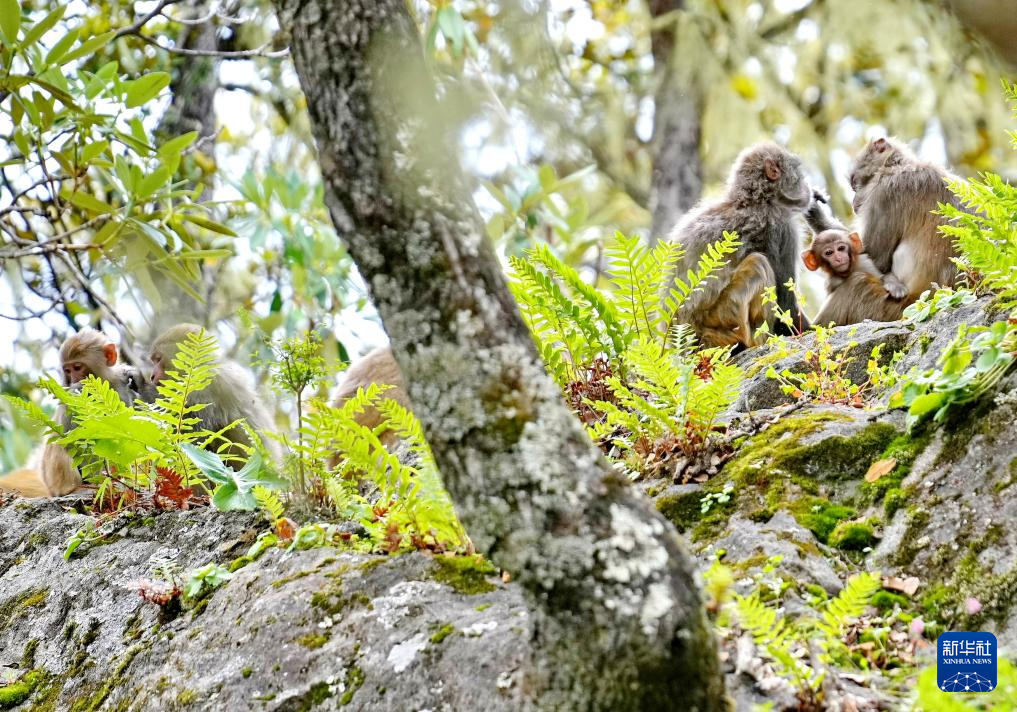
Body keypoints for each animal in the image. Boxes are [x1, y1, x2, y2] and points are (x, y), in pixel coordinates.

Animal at [667, 141, 817, 347]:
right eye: (799, 172)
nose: (807, 185)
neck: (753, 200)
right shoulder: (782, 228)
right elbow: (788, 307)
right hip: (724, 319)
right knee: (758, 264)